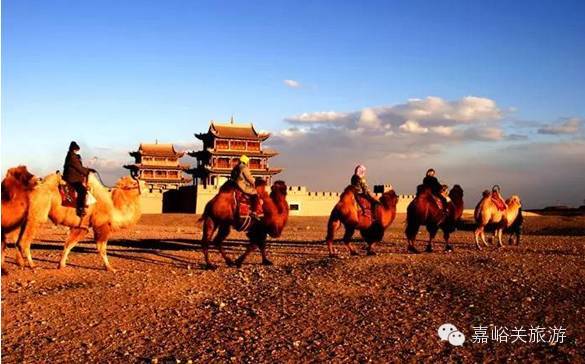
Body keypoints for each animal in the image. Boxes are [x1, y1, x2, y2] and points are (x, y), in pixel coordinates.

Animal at [14, 172, 143, 272]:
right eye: (134, 183)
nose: (145, 184)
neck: (113, 208)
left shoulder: (82, 227)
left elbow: (69, 245)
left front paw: (61, 265)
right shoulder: (101, 226)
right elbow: (102, 249)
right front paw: (110, 268)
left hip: (26, 218)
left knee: (18, 241)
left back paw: (21, 264)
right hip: (36, 216)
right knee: (24, 241)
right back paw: (32, 265)